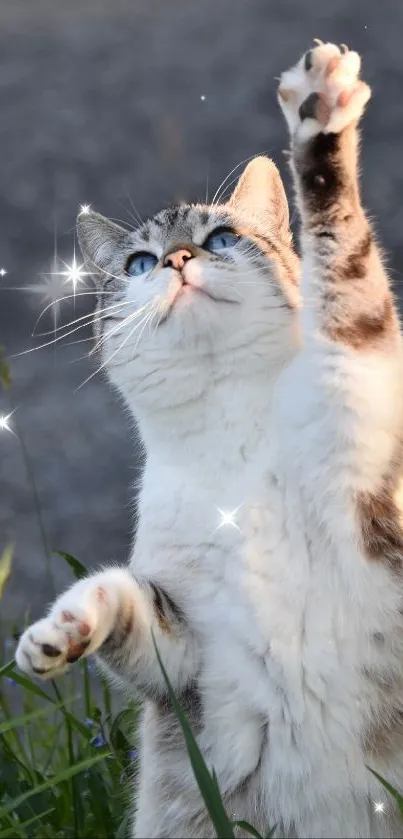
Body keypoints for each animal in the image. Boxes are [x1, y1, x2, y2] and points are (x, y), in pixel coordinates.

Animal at [15, 42, 403, 836]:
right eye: (138, 263)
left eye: (220, 239)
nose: (176, 260)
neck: (230, 433)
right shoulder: (189, 650)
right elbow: (124, 596)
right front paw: (58, 631)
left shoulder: (361, 388)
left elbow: (342, 254)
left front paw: (319, 118)